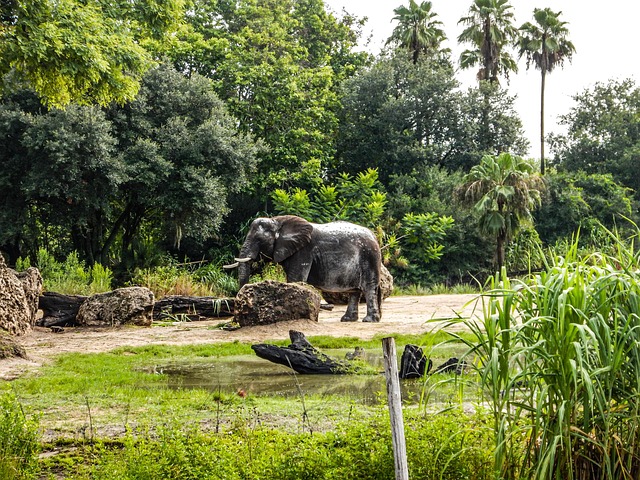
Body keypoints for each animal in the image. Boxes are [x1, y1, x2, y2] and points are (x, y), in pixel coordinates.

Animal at [224, 215, 382, 322]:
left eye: (259, 240)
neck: (277, 221)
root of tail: (374, 236)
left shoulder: (304, 251)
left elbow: (296, 279)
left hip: (369, 256)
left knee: (368, 288)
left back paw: (369, 320)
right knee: (354, 291)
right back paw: (347, 319)